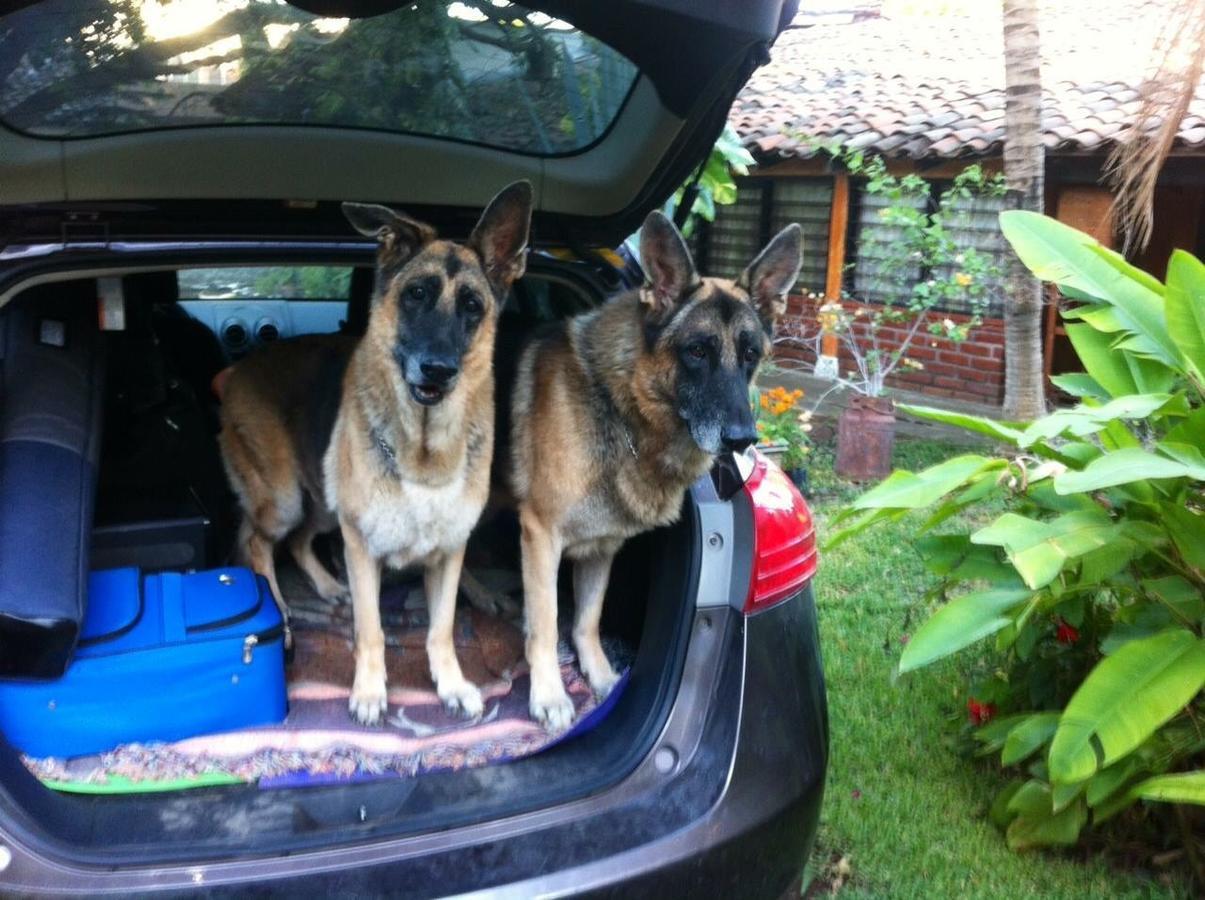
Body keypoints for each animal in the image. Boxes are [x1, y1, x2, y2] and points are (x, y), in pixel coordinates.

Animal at [218, 180, 537, 722]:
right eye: (416, 295)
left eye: (473, 306)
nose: (438, 370)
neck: (425, 451)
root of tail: (237, 370)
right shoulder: (362, 547)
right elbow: (373, 630)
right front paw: (369, 691)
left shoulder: (448, 549)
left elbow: (442, 627)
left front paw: (451, 683)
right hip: (285, 500)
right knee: (255, 542)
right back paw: (283, 615)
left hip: (322, 505)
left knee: (300, 541)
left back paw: (329, 587)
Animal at [508, 213, 800, 732]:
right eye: (697, 351)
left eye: (750, 355)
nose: (742, 441)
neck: (623, 407)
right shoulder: (540, 535)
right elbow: (545, 621)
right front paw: (549, 694)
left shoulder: (602, 545)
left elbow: (587, 619)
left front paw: (600, 677)